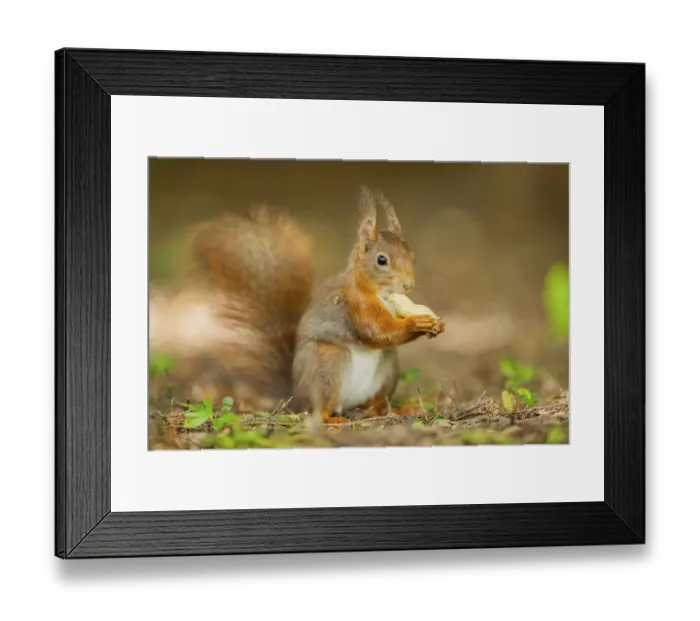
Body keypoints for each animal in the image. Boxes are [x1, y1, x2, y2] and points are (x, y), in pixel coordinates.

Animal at [180, 185, 445, 425]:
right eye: (381, 260)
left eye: (412, 256)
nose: (408, 285)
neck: (381, 294)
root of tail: (297, 396)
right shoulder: (355, 304)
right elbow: (377, 331)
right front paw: (417, 323)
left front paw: (436, 325)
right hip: (327, 366)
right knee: (320, 411)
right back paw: (333, 420)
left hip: (388, 369)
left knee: (377, 404)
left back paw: (397, 410)